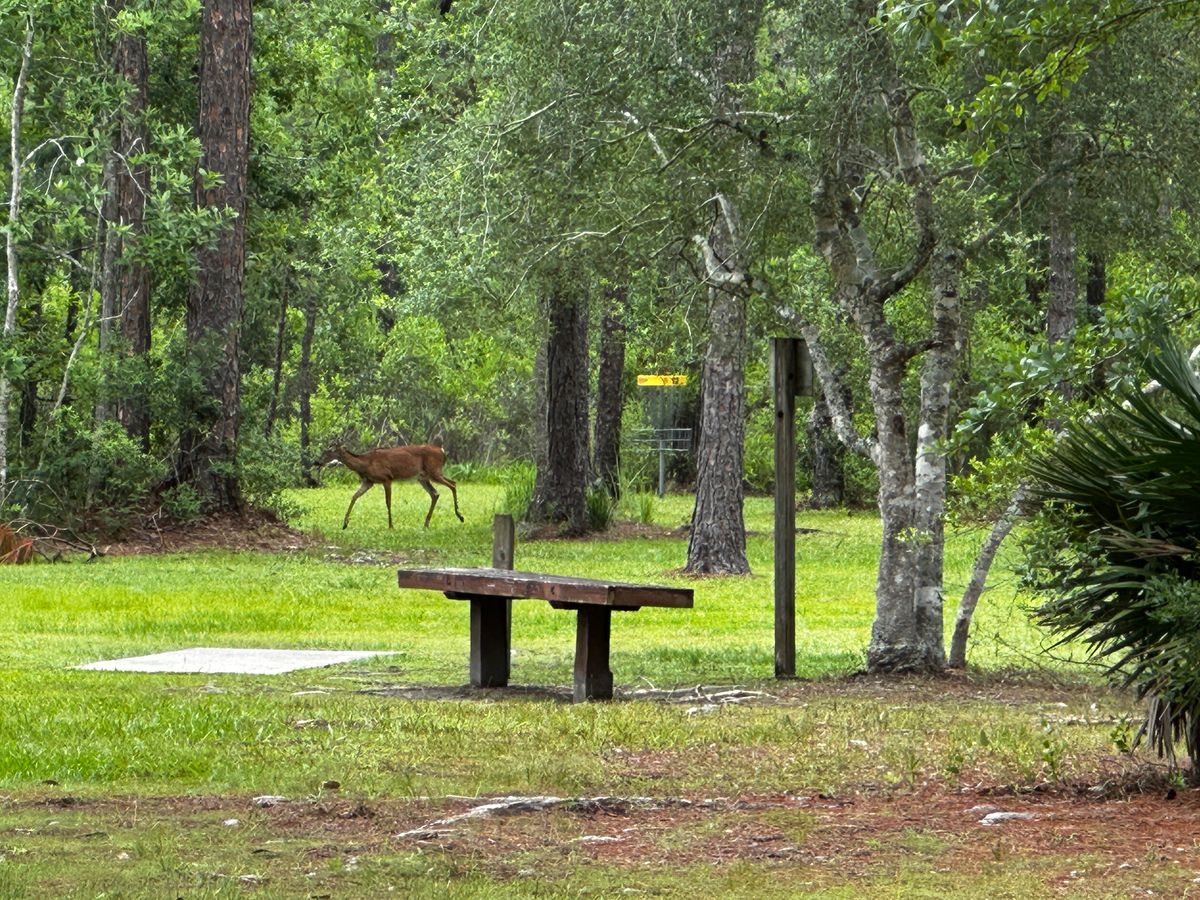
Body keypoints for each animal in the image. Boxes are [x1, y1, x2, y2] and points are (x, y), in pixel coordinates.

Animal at [321, 443, 464, 529]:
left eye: (328, 452)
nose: (318, 461)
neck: (366, 463)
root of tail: (442, 451)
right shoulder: (368, 482)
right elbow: (354, 497)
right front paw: (345, 523)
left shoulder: (386, 478)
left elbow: (388, 502)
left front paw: (391, 526)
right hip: (423, 477)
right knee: (436, 493)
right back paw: (426, 524)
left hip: (434, 471)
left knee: (452, 483)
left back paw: (460, 516)